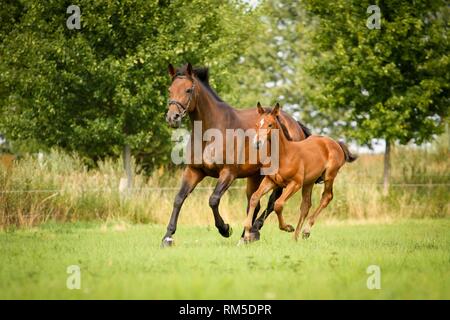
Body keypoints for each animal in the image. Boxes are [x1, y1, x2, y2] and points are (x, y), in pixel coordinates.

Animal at [163, 63, 312, 248]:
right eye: (170, 90)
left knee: (272, 202)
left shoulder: (228, 173)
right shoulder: (194, 171)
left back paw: (254, 231)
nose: (172, 117)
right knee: (254, 203)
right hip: (255, 176)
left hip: (279, 175)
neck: (211, 133)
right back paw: (246, 236)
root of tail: (295, 124)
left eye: (188, 90)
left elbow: (213, 200)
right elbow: (179, 198)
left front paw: (225, 229)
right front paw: (167, 237)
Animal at [244, 104, 356, 241]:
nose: (257, 143)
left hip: (329, 176)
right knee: (306, 205)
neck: (284, 155)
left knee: (327, 197)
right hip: (309, 182)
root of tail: (335, 143)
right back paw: (296, 237)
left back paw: (305, 230)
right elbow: (254, 197)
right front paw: (247, 233)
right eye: (257, 124)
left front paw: (287, 227)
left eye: (270, 124)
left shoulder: (295, 183)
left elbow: (278, 204)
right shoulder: (271, 181)